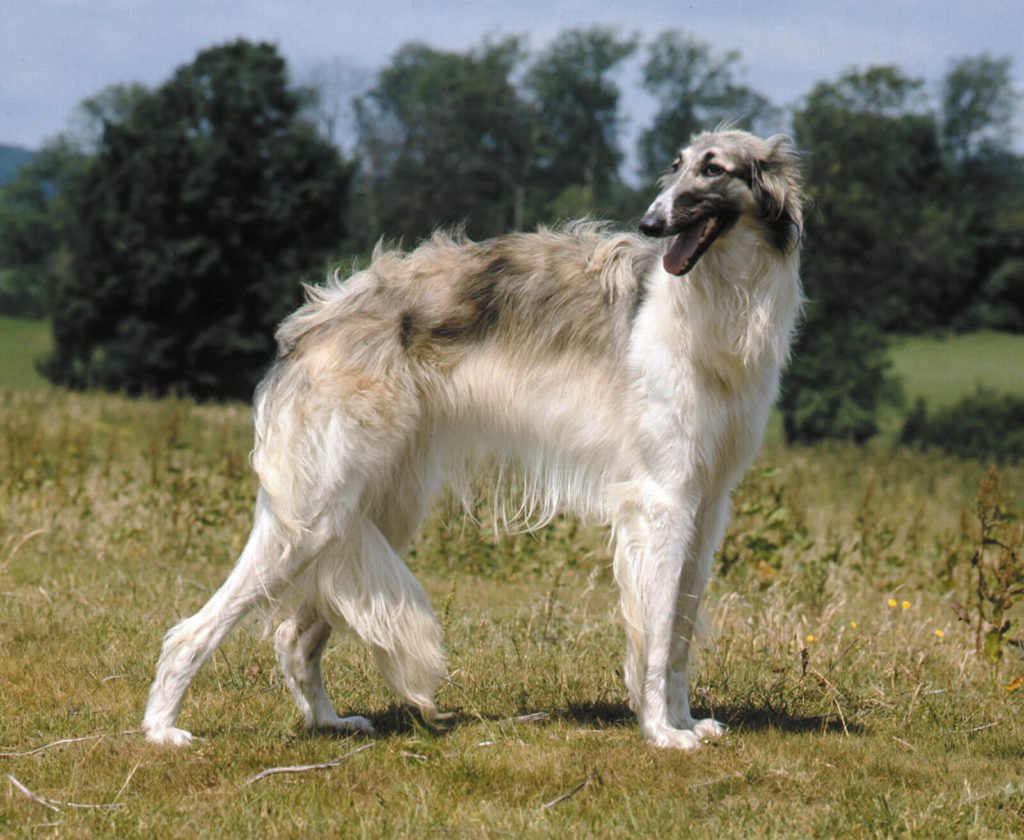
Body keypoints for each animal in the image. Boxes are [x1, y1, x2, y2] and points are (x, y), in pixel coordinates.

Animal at [142, 129, 798, 749]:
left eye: (714, 168)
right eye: (675, 165)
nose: (651, 223)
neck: (715, 303)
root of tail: (311, 324)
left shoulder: (705, 503)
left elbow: (681, 630)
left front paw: (687, 723)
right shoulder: (660, 499)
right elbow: (658, 635)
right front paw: (662, 732)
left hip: (372, 510)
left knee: (292, 635)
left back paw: (328, 722)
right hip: (315, 513)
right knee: (192, 631)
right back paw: (162, 728)